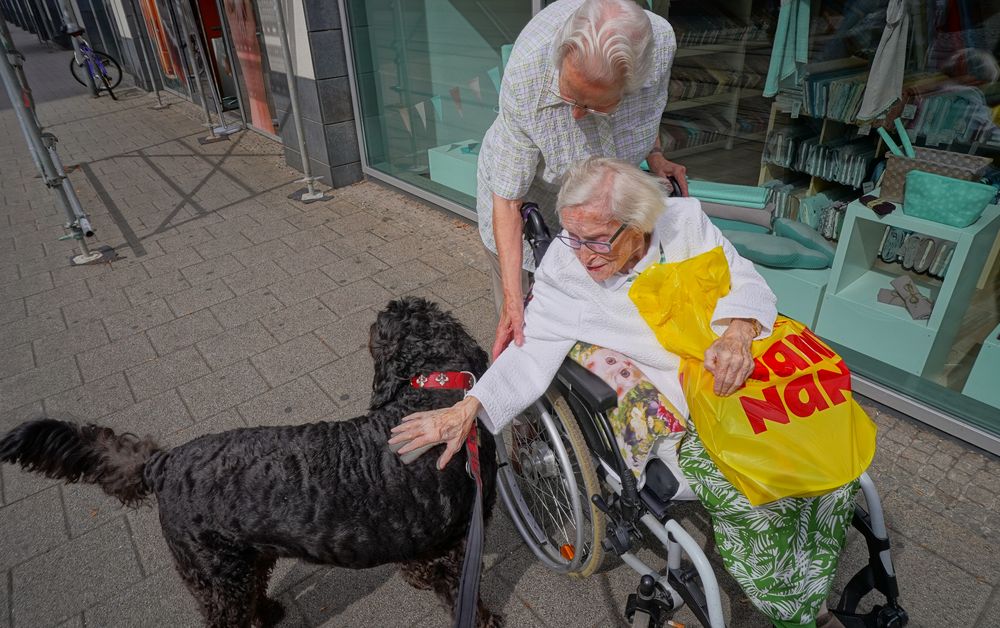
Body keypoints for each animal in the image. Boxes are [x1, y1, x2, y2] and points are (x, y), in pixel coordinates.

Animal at [0, 298, 500, 628]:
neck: (431, 395)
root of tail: (165, 462)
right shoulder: (453, 551)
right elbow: (465, 599)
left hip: (245, 562)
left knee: (253, 593)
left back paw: (271, 612)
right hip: (216, 575)